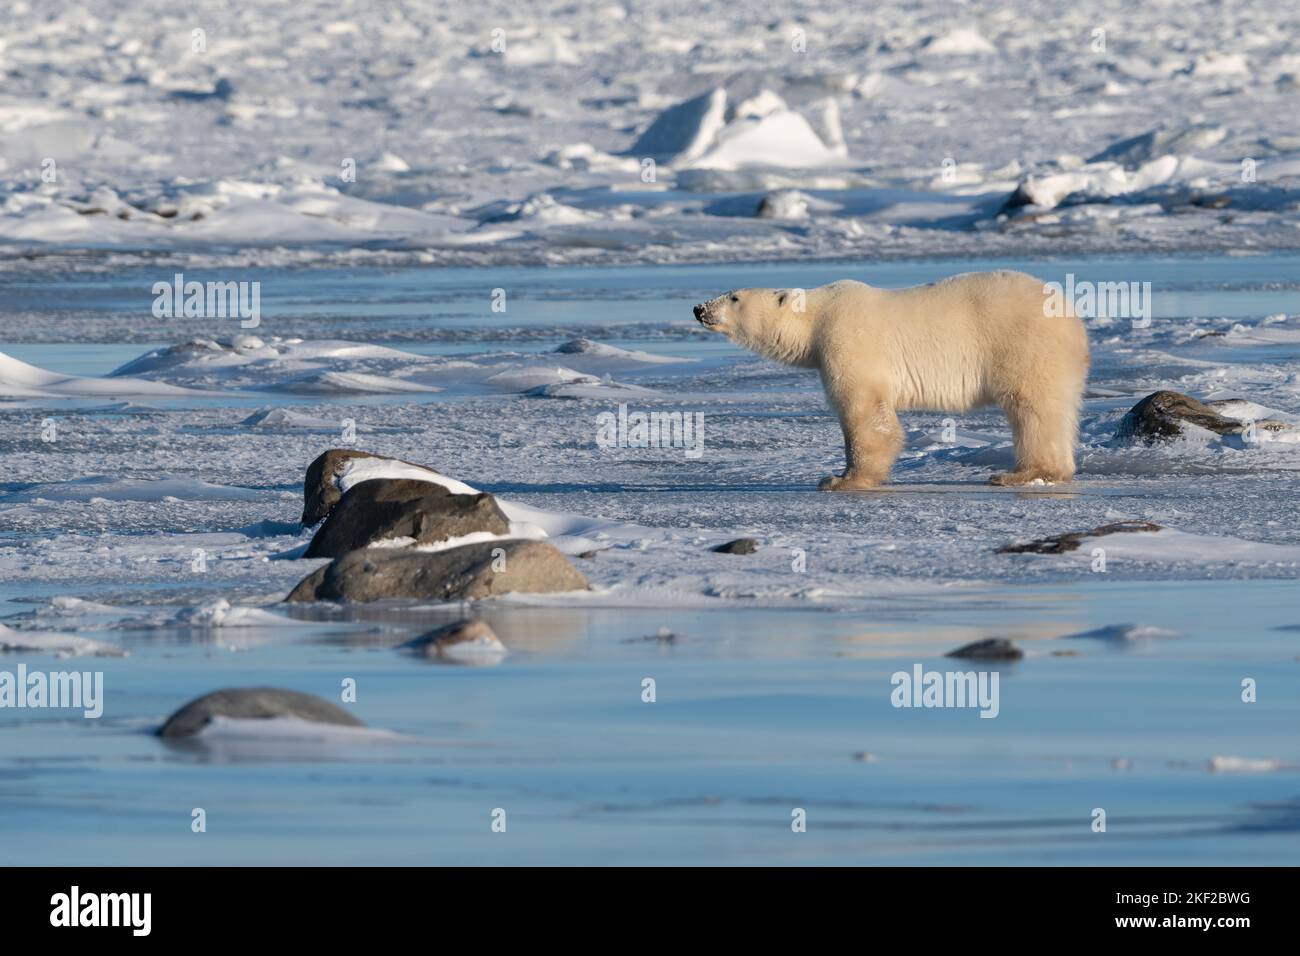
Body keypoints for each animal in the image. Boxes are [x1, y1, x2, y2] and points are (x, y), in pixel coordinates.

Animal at [696, 270, 1092, 489]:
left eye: (734, 297)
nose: (699, 308)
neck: (816, 317)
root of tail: (1073, 320)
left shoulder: (847, 338)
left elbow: (865, 412)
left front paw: (842, 479)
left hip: (1023, 346)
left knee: (1032, 408)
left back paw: (1020, 473)